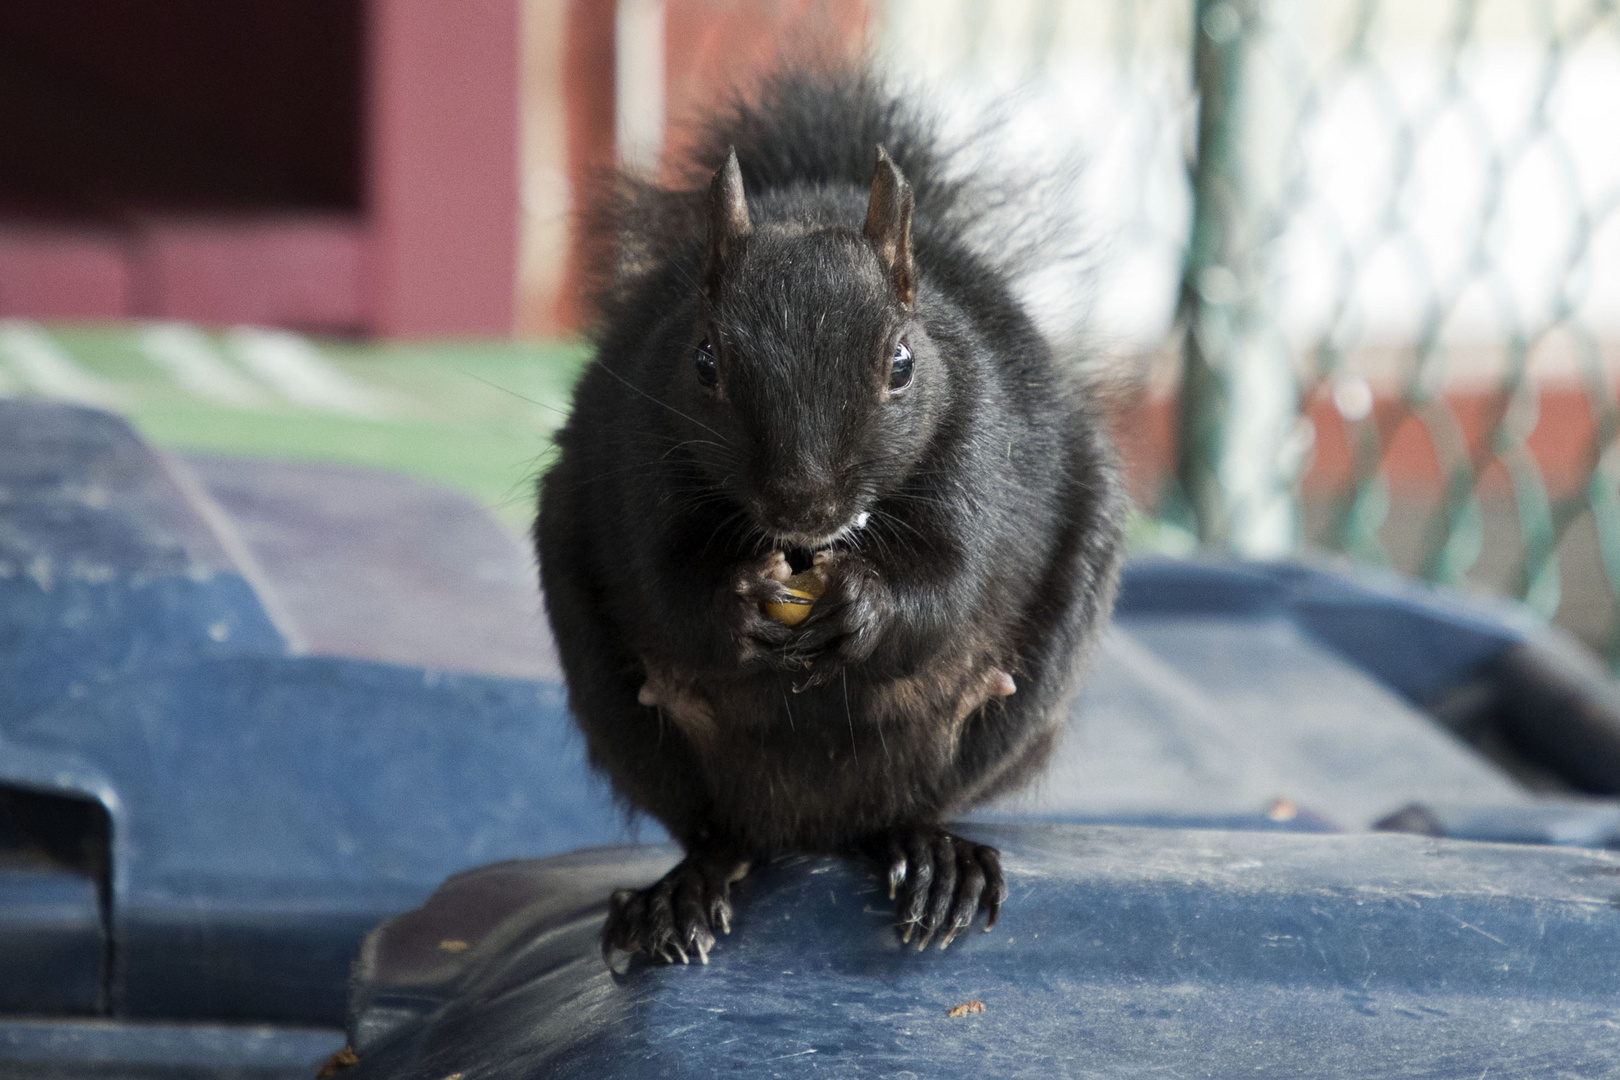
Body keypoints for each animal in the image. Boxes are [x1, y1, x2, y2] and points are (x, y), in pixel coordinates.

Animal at [537, 65, 1121, 965]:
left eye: (903, 364)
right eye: (704, 361)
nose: (803, 505)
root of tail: (813, 831)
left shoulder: (983, 459)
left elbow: (951, 583)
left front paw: (864, 606)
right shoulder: (640, 458)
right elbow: (667, 583)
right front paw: (739, 603)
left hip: (1010, 709)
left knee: (907, 809)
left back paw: (935, 861)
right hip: (630, 721)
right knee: (719, 833)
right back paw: (684, 892)